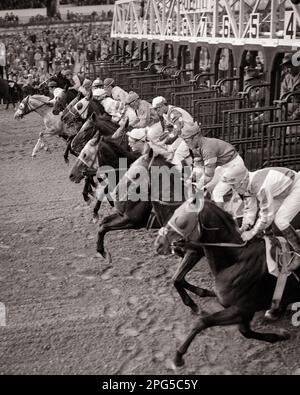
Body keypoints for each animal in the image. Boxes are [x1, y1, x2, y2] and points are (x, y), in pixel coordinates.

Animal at [155, 201, 300, 368]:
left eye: (181, 220)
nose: (158, 244)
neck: (236, 261)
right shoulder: (241, 311)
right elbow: (245, 332)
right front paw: (280, 336)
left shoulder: (241, 309)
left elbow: (202, 322)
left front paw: (178, 356)